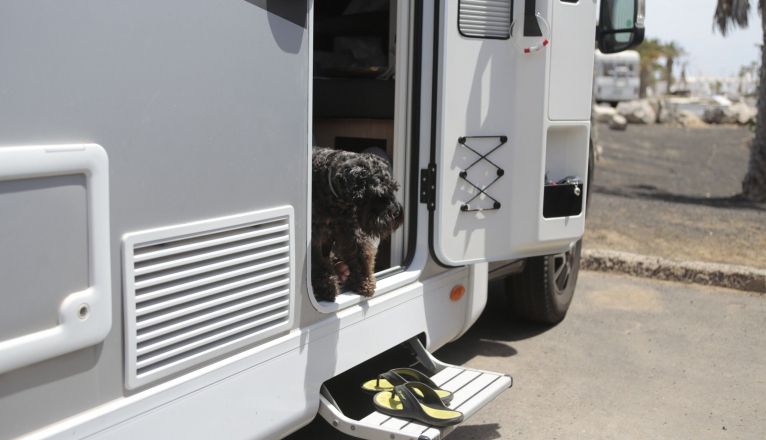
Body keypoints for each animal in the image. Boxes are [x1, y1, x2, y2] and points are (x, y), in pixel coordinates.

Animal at [314, 146, 408, 300]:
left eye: (394, 188)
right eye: (377, 193)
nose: (395, 213)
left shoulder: (351, 230)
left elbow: (360, 253)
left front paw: (364, 282)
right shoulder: (315, 235)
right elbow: (317, 261)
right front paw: (326, 286)